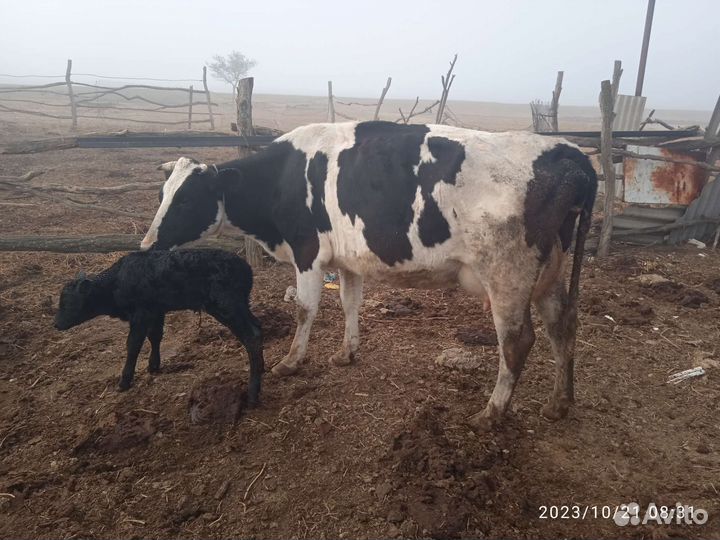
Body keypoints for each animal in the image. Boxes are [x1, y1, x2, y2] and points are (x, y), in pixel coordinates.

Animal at [140, 121, 597, 430]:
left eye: (187, 200)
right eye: (162, 194)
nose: (147, 245)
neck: (282, 178)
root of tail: (565, 150)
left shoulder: (307, 252)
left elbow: (305, 310)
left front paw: (291, 361)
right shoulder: (347, 260)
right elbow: (349, 303)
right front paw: (347, 352)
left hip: (507, 275)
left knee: (518, 342)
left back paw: (491, 412)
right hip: (550, 273)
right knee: (563, 327)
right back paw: (559, 403)